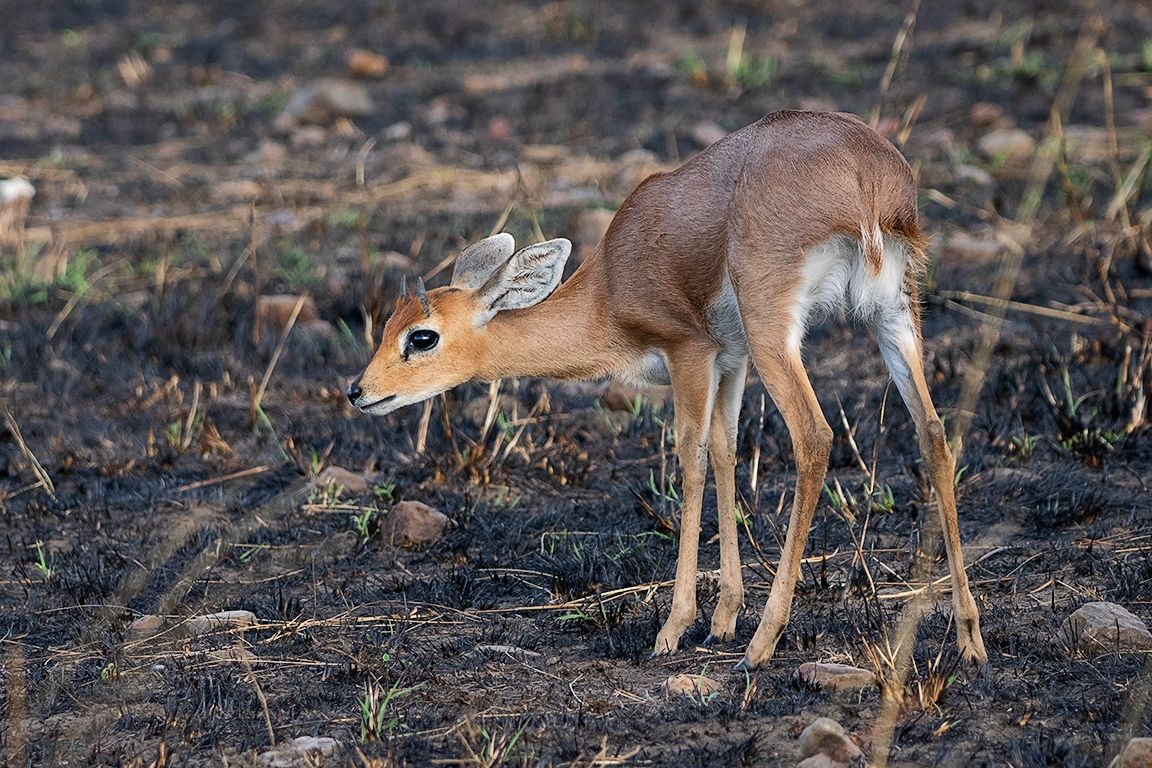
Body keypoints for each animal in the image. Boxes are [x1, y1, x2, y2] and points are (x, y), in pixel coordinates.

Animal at [348, 110, 988, 669]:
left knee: (815, 437)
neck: (609, 287)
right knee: (934, 433)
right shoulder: (731, 359)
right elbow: (727, 452)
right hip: (892, 312)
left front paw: (676, 626)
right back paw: (969, 638)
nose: (358, 391)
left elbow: (692, 458)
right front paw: (723, 617)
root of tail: (867, 174)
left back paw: (763, 645)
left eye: (421, 336)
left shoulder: (690, 353)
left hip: (777, 329)